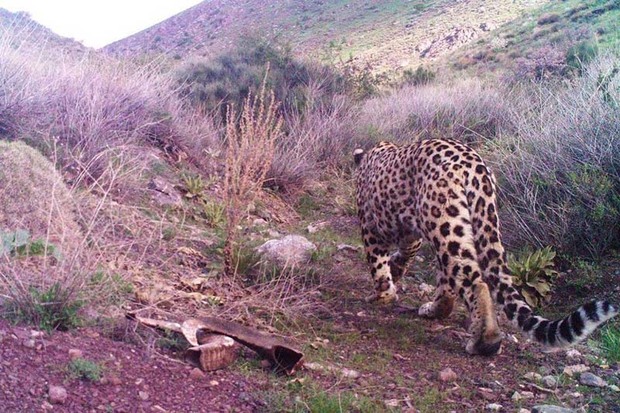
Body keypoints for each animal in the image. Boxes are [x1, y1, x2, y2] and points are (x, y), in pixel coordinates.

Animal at [356, 138, 616, 354]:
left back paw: (484, 341)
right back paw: (435, 310)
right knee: (451, 280)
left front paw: (381, 295)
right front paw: (394, 277)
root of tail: (474, 164)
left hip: (445, 224)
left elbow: (378, 265)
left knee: (474, 280)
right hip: (455, 227)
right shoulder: (411, 235)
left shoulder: (371, 228)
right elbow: (400, 258)